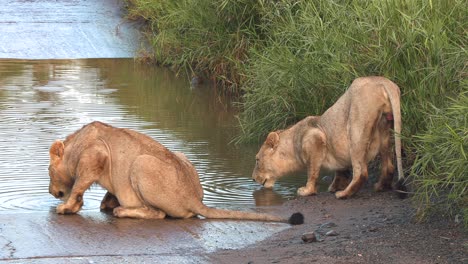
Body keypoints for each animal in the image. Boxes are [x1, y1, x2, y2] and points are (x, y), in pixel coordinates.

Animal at [48, 121, 304, 225]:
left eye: (49, 171)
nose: (51, 192)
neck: (76, 143)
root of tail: (193, 197)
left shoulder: (96, 155)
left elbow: (79, 183)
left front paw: (67, 206)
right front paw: (102, 202)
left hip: (141, 163)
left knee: (159, 214)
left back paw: (122, 210)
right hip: (178, 155)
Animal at [254, 77, 404, 199]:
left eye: (257, 160)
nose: (253, 179)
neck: (293, 142)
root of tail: (383, 81)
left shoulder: (315, 138)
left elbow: (312, 171)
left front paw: (307, 191)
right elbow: (341, 171)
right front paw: (334, 186)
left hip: (356, 127)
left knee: (361, 171)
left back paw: (343, 194)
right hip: (385, 127)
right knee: (389, 165)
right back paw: (380, 186)